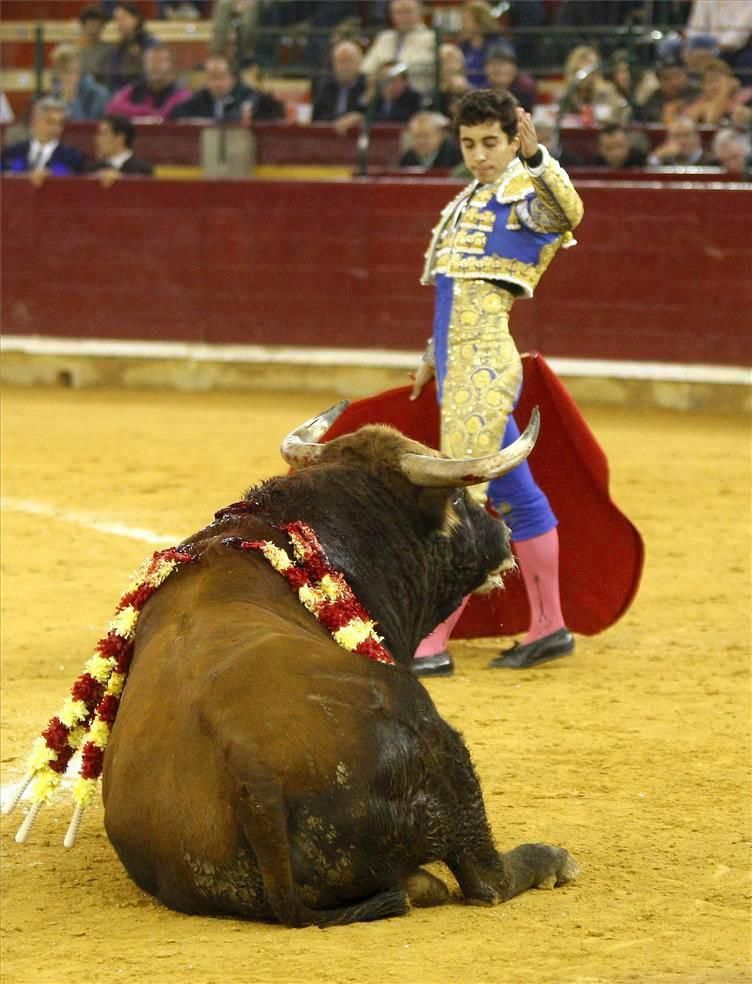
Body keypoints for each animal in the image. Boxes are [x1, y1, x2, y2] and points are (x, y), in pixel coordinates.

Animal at [101, 404, 580, 928]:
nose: (503, 534)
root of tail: (254, 782)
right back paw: (550, 860)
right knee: (487, 879)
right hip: (435, 736)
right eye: (457, 497)